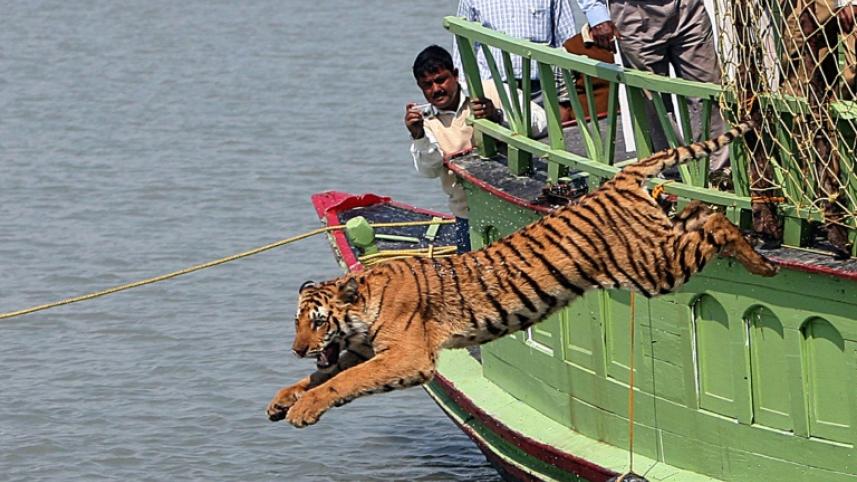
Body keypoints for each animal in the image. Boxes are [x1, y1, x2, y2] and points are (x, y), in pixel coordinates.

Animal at [266, 119, 779, 428]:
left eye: (317, 322)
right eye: (296, 321)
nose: (296, 349)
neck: (363, 307)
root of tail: (619, 176)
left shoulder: (407, 358)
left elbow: (342, 382)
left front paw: (303, 409)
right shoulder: (364, 351)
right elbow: (321, 376)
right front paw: (282, 398)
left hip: (654, 268)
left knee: (714, 222)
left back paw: (765, 263)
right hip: (657, 246)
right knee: (698, 211)